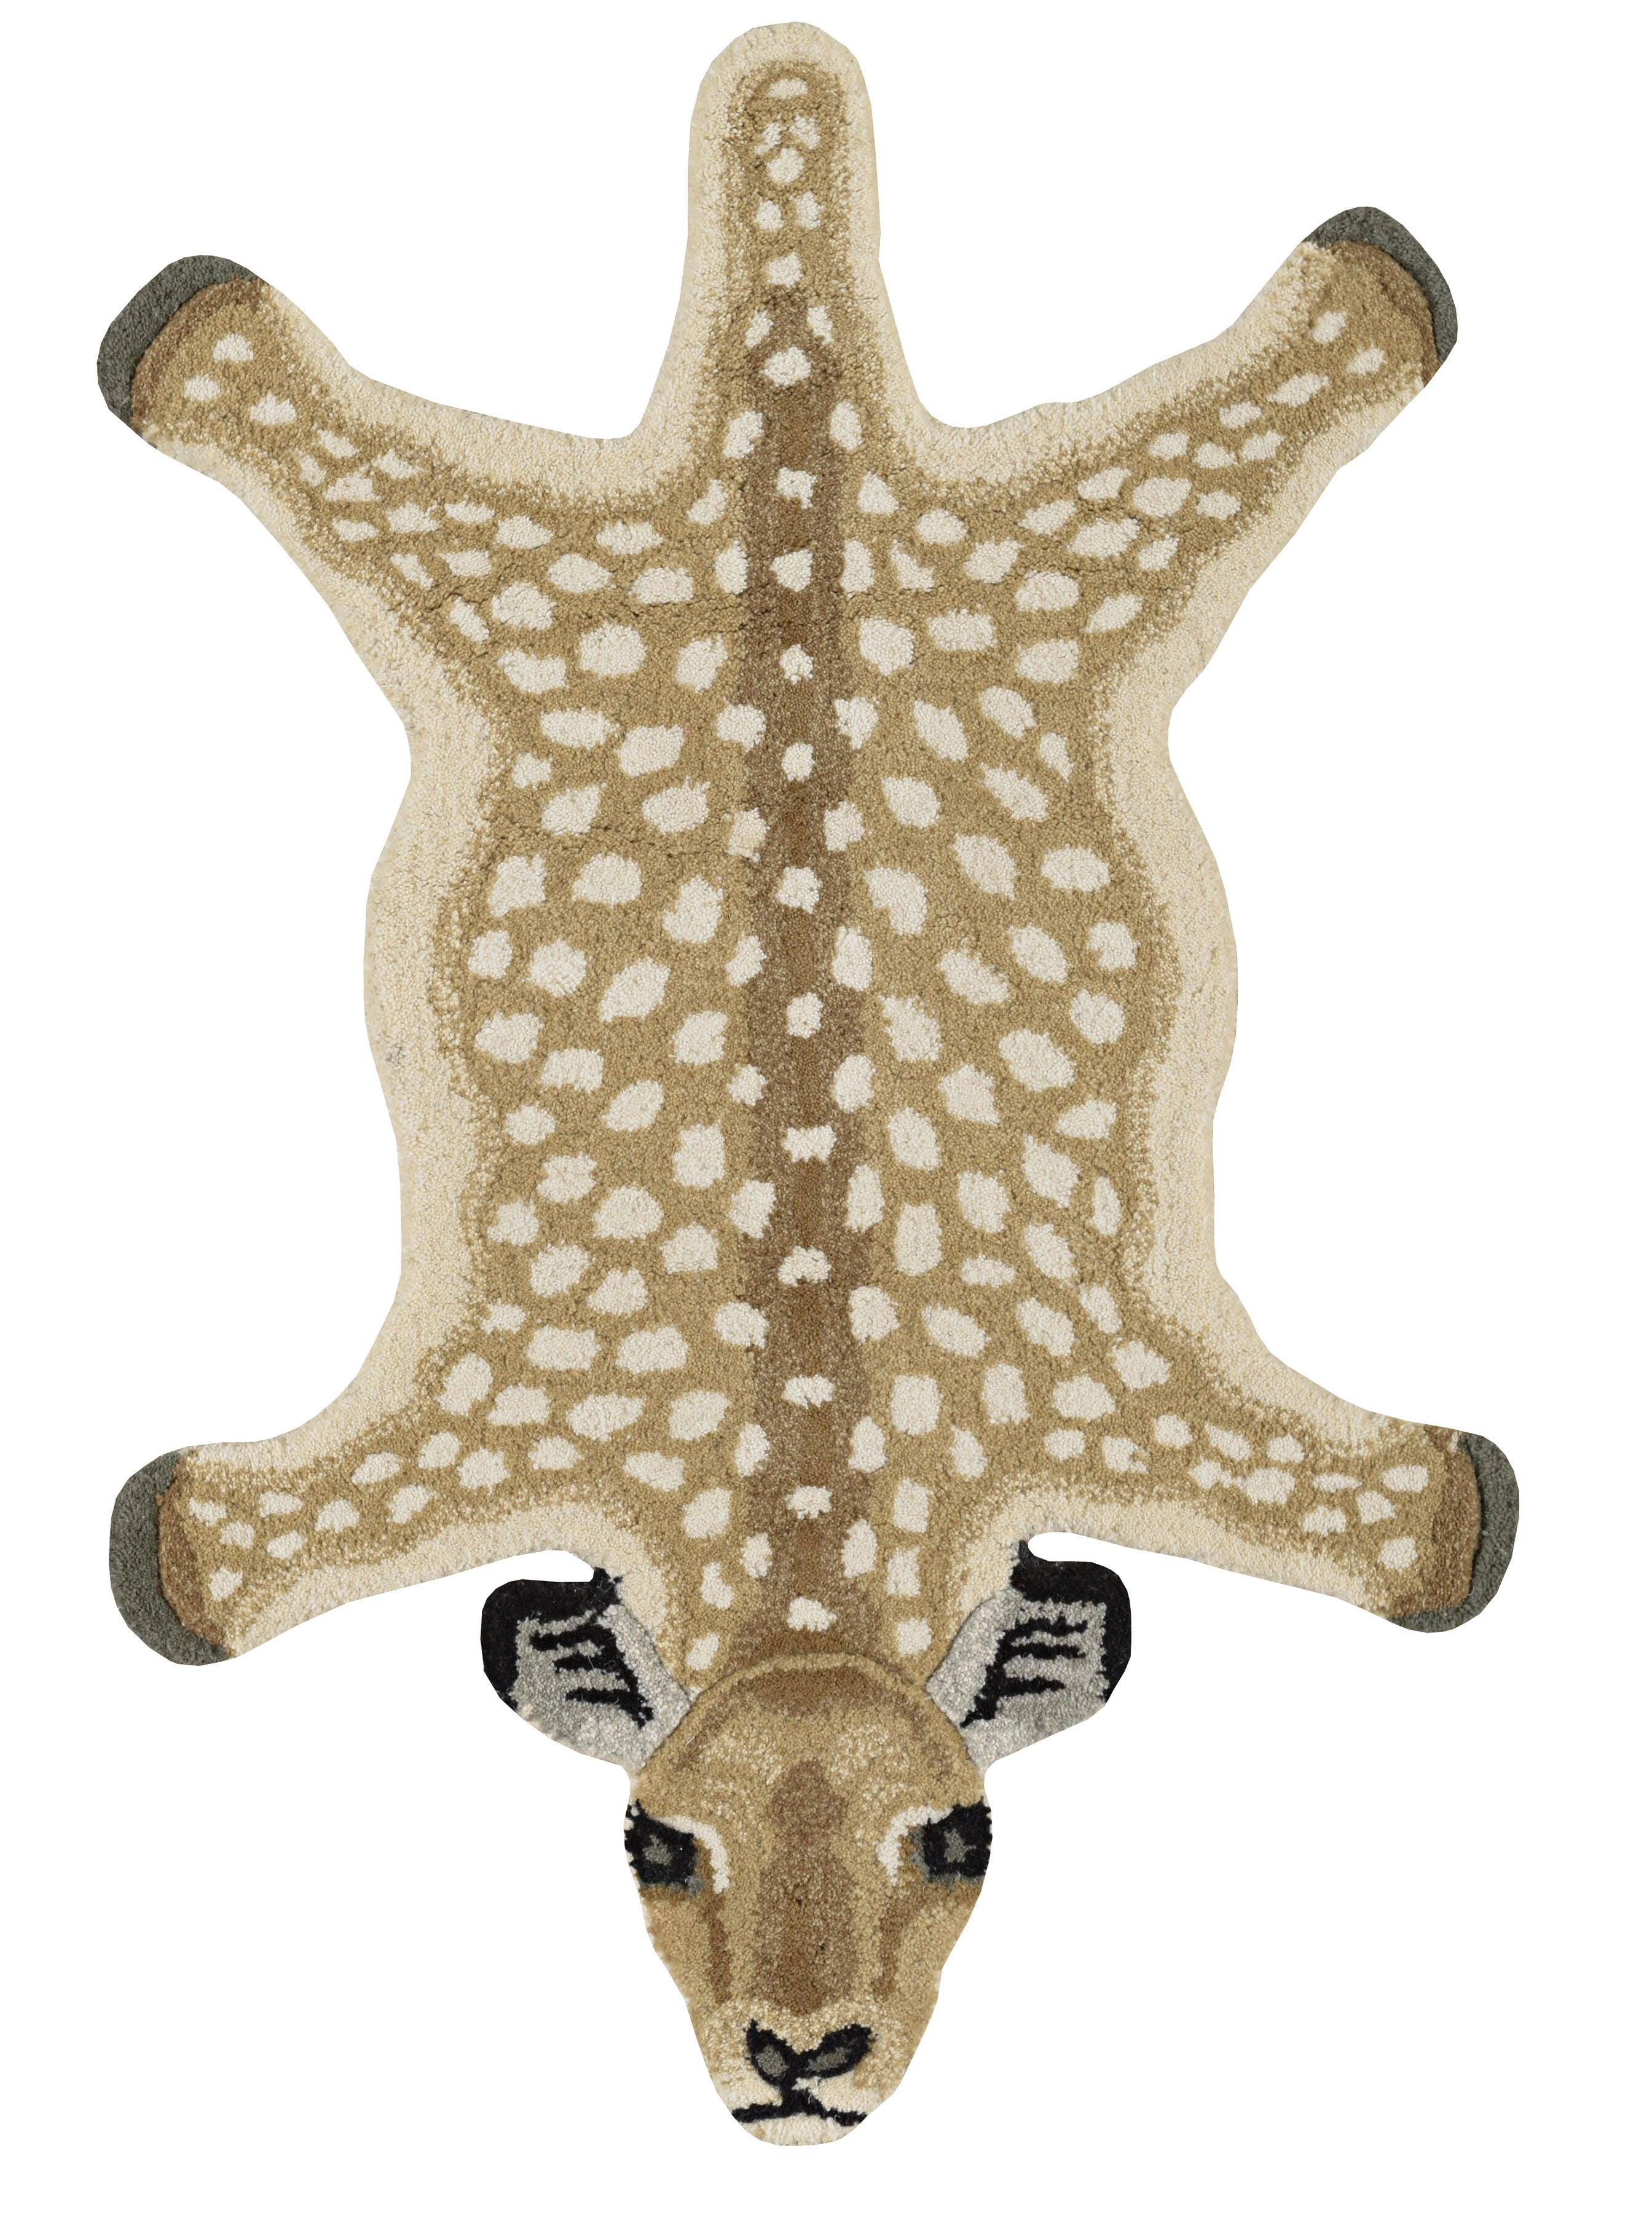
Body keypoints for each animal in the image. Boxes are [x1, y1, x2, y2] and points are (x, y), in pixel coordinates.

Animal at [102, 22, 1516, 2140]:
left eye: (962, 1837)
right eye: (647, 1842)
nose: (801, 2061)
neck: (805, 1479)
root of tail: (791, 386)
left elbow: (1419, 1529)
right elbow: (203, 1561)